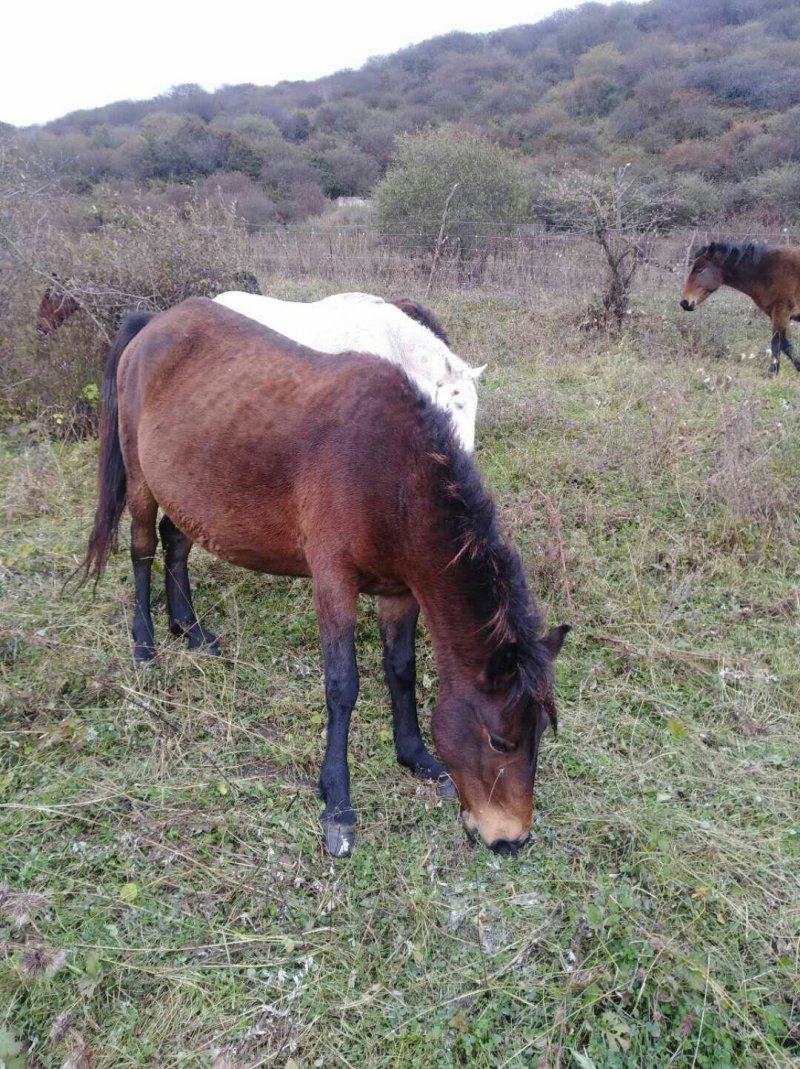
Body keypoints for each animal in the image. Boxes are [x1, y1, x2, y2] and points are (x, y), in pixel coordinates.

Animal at [681, 242, 800, 376]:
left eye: (699, 270)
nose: (684, 302)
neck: (770, 270)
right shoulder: (776, 315)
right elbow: (781, 344)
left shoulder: (781, 312)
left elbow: (781, 344)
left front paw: (774, 372)